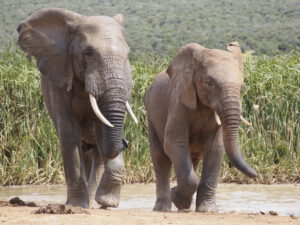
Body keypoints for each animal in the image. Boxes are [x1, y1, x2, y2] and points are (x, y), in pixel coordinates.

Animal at [144, 42, 256, 213]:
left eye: (242, 86)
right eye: (209, 83)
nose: (257, 174)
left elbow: (215, 148)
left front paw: (207, 210)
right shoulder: (178, 102)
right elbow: (174, 143)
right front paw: (177, 196)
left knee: (193, 160)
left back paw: (184, 209)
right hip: (151, 114)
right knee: (160, 159)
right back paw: (163, 209)